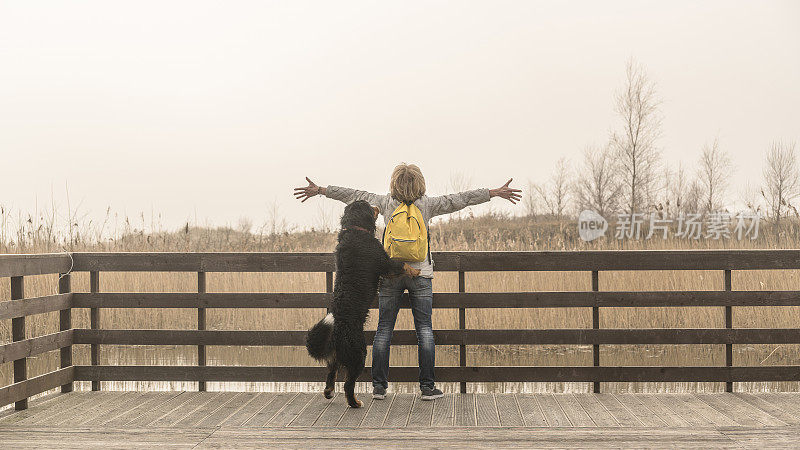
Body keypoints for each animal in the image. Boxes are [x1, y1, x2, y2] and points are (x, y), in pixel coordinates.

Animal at [304, 200, 418, 408]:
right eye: (367, 205)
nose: (376, 205)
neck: (355, 230)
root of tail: (336, 330)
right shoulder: (384, 262)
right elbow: (402, 265)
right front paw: (415, 271)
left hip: (335, 358)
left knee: (330, 375)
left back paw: (329, 392)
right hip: (358, 354)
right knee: (348, 385)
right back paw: (355, 403)